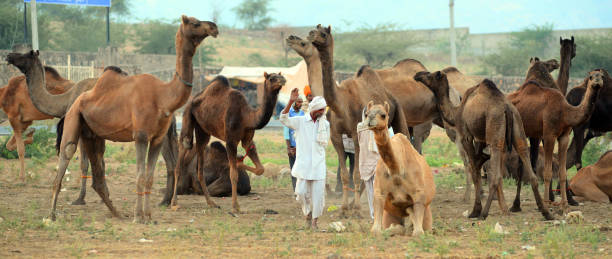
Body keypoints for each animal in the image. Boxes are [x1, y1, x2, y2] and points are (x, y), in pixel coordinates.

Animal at [6, 51, 179, 208]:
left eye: (25, 55)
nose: (8, 56)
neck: (64, 100)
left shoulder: (83, 130)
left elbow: (85, 163)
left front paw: (80, 199)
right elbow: (101, 162)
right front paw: (105, 197)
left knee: (170, 162)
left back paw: (166, 200)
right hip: (166, 132)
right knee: (174, 161)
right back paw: (170, 201)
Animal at [49, 14, 218, 223]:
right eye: (195, 23)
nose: (214, 27)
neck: (163, 97)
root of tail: (75, 101)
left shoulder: (157, 138)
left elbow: (150, 178)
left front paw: (149, 217)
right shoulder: (141, 136)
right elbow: (140, 177)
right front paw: (139, 217)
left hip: (92, 134)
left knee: (98, 176)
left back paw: (118, 213)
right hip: (74, 119)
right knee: (66, 155)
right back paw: (51, 214)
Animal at [170, 71, 286, 213]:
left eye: (280, 75)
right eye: (271, 78)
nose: (283, 80)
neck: (247, 117)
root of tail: (195, 97)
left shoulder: (247, 139)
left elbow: (260, 169)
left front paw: (239, 163)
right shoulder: (231, 140)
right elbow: (233, 174)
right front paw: (235, 206)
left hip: (203, 129)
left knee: (200, 161)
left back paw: (211, 203)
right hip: (188, 115)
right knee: (184, 145)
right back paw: (174, 202)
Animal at [364, 102, 436, 238]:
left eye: (383, 115)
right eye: (366, 113)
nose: (370, 120)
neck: (396, 169)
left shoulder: (418, 193)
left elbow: (418, 232)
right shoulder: (379, 191)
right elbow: (375, 230)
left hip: (428, 212)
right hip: (389, 214)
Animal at [416, 71, 556, 221]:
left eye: (430, 75)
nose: (417, 75)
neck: (456, 111)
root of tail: (506, 108)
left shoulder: (466, 135)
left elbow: (475, 170)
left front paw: (475, 210)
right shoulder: (481, 139)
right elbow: (479, 166)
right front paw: (502, 209)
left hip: (495, 128)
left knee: (495, 176)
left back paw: (483, 214)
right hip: (518, 127)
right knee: (528, 165)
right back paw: (546, 212)